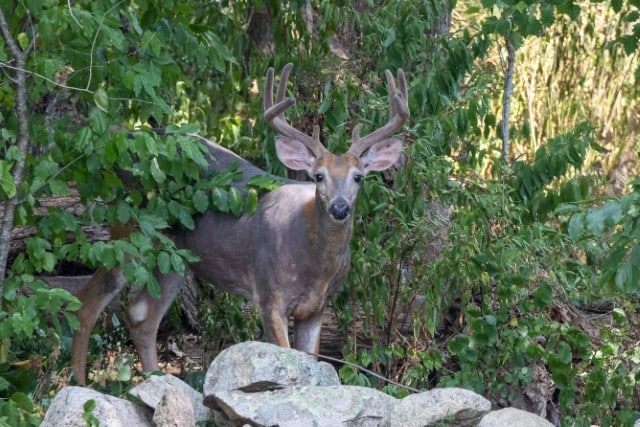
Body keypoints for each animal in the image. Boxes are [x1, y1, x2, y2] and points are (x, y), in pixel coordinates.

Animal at [71, 63, 410, 384]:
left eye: (358, 177)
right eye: (318, 176)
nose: (339, 208)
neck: (313, 260)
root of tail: (124, 140)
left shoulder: (317, 307)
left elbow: (310, 362)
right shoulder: (268, 293)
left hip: (174, 259)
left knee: (141, 316)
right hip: (130, 228)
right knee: (87, 302)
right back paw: (79, 381)